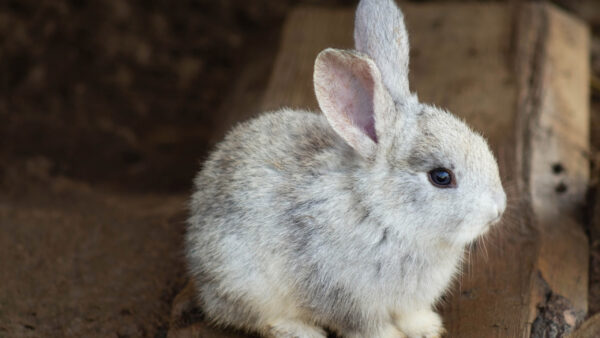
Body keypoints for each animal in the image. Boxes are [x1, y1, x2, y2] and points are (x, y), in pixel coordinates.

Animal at [185, 0, 504, 336]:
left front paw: (428, 327)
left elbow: (410, 314)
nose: (498, 210)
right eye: (441, 177)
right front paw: (394, 335)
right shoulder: (346, 297)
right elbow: (368, 326)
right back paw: (302, 331)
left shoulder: (406, 302)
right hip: (246, 283)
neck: (381, 214)